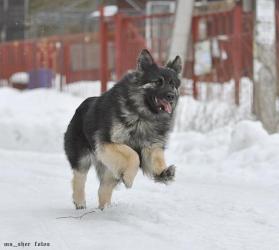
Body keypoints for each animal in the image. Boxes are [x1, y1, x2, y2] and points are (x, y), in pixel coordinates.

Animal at [64, 48, 183, 209]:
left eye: (172, 84)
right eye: (158, 82)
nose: (171, 96)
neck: (142, 115)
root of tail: (79, 108)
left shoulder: (151, 146)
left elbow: (156, 158)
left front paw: (163, 173)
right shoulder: (107, 143)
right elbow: (133, 156)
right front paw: (129, 178)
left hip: (110, 170)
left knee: (103, 189)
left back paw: (105, 209)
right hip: (82, 158)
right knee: (79, 178)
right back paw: (80, 201)